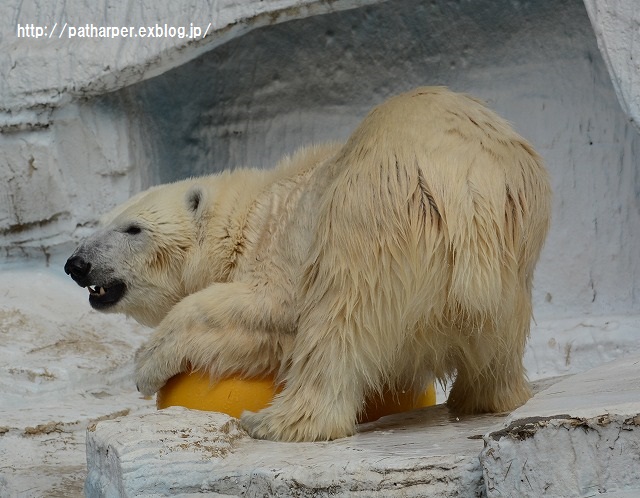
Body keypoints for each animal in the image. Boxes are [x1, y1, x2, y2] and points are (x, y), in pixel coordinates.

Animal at [67, 87, 552, 442]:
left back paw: (276, 422)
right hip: (515, 242)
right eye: (103, 222)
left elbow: (265, 308)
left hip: (371, 216)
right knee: (500, 340)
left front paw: (147, 365)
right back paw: (486, 398)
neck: (250, 212)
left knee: (339, 321)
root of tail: (467, 180)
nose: (76, 264)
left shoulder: (281, 241)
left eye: (132, 229)